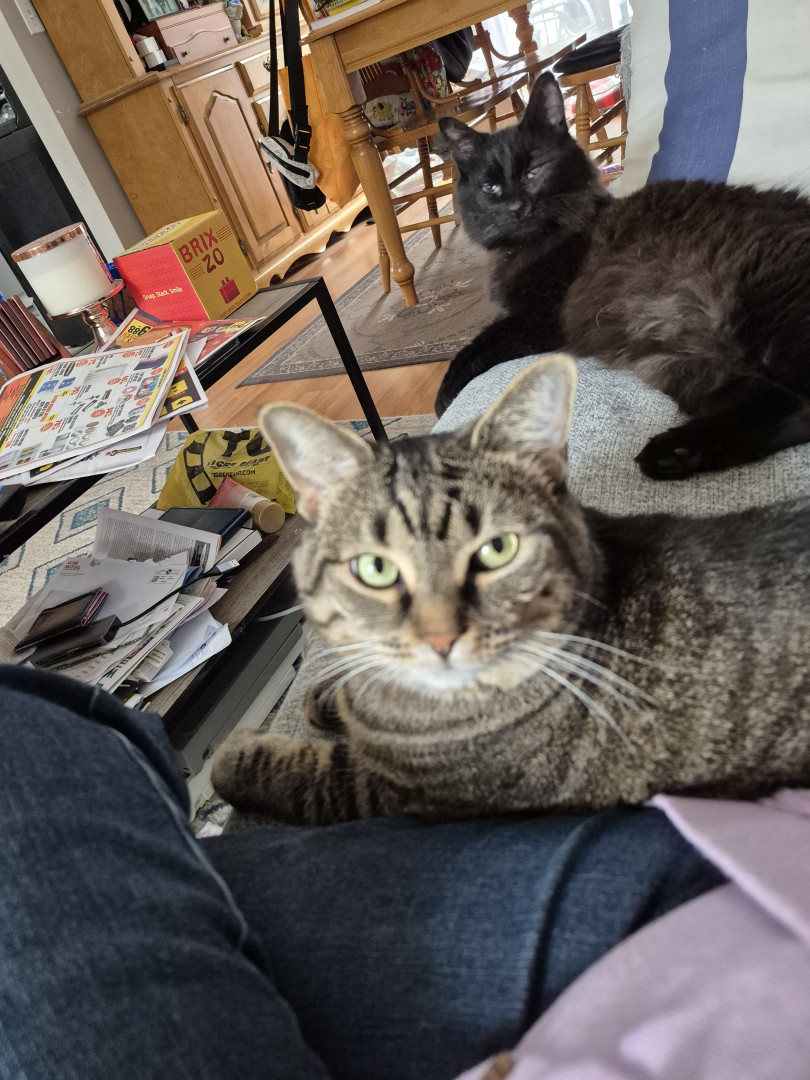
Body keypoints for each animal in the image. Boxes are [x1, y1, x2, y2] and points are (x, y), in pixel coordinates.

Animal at [211, 355, 810, 824]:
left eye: (497, 550)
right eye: (375, 568)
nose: (441, 639)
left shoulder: (396, 794)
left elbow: (299, 775)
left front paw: (230, 758)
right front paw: (331, 695)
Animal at [434, 72, 810, 481]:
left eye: (534, 170)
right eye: (491, 188)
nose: (518, 207)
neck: (532, 245)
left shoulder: (540, 318)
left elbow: (474, 348)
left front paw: (441, 399)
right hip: (686, 364)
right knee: (787, 408)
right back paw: (672, 454)